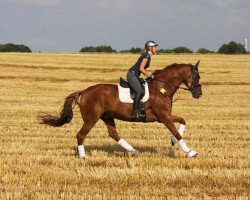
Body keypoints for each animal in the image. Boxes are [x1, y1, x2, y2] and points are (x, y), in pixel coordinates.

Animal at [40, 60, 202, 158]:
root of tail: (84, 91)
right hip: (91, 118)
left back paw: (133, 150)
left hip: (107, 116)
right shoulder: (164, 117)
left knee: (113, 134)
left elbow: (183, 121)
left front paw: (173, 141)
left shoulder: (164, 116)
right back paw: (83, 156)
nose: (199, 94)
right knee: (81, 135)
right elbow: (177, 132)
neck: (161, 87)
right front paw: (190, 151)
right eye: (197, 77)